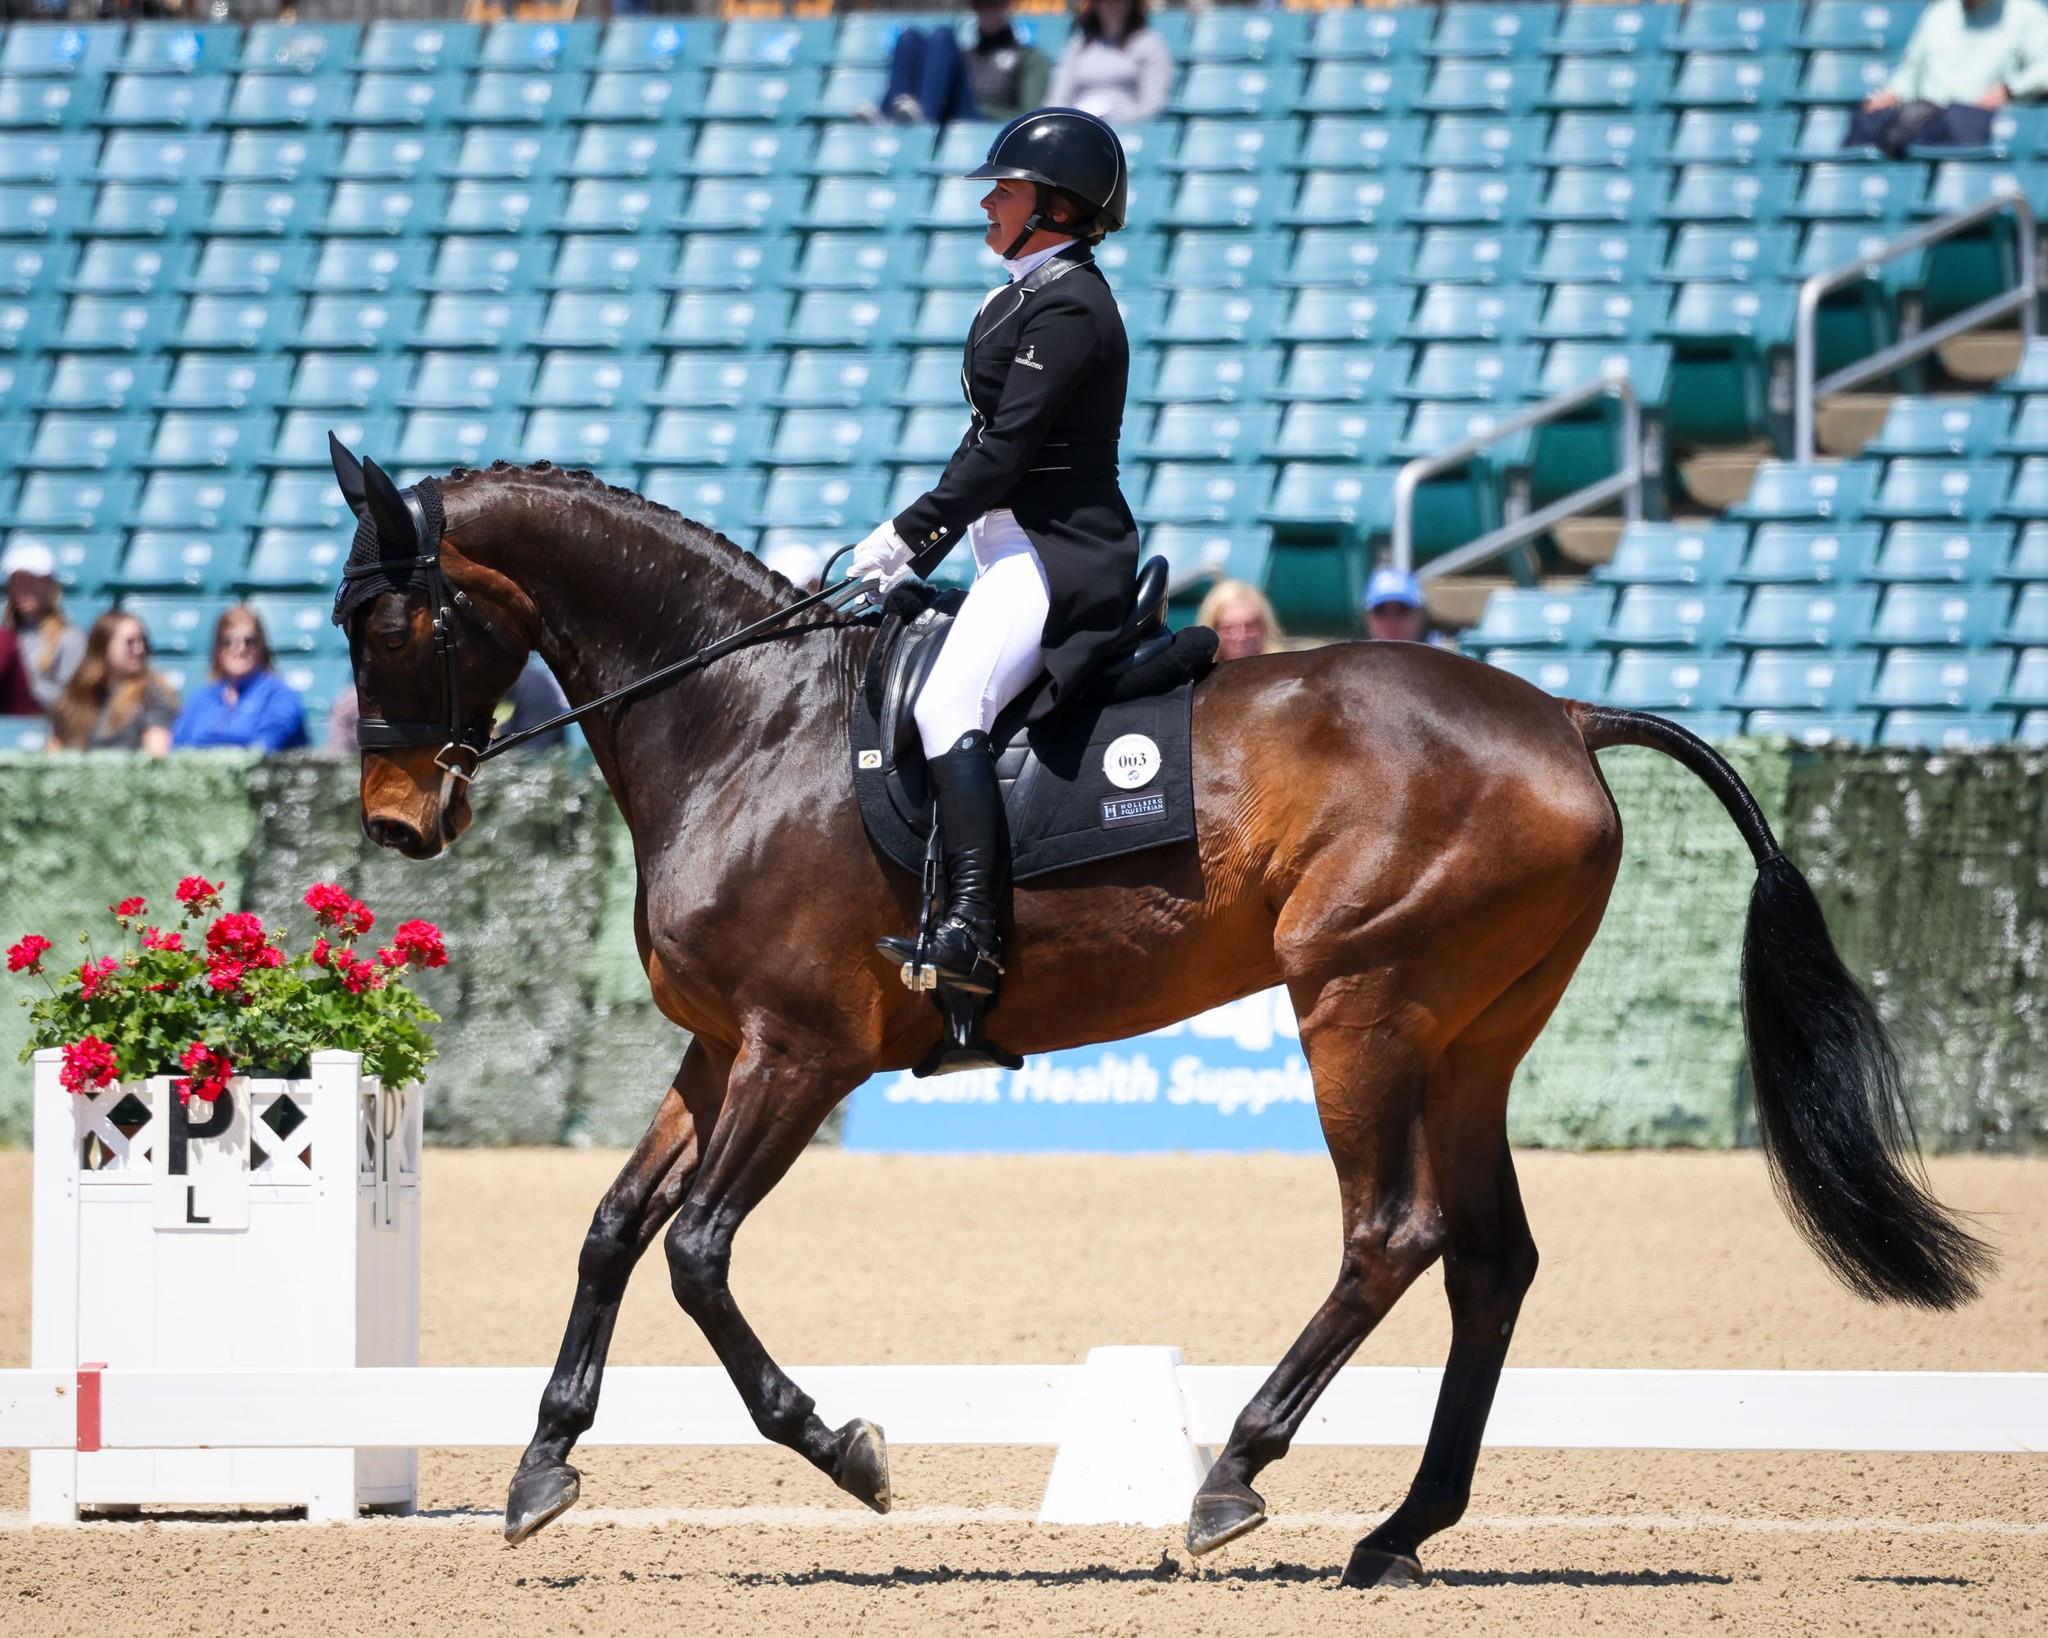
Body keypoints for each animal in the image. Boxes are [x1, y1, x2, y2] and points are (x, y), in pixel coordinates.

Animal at [331, 450, 1982, 1588]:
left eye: (387, 622)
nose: (398, 825)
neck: (749, 727)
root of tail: (1565, 718)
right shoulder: (721, 1045)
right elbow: (614, 1227)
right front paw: (542, 1462)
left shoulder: (802, 1051)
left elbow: (696, 1252)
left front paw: (848, 1448)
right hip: (1468, 1038)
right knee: (1490, 1260)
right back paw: (1401, 1528)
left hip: (1360, 1005)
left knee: (1394, 1231)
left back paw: (1233, 1474)